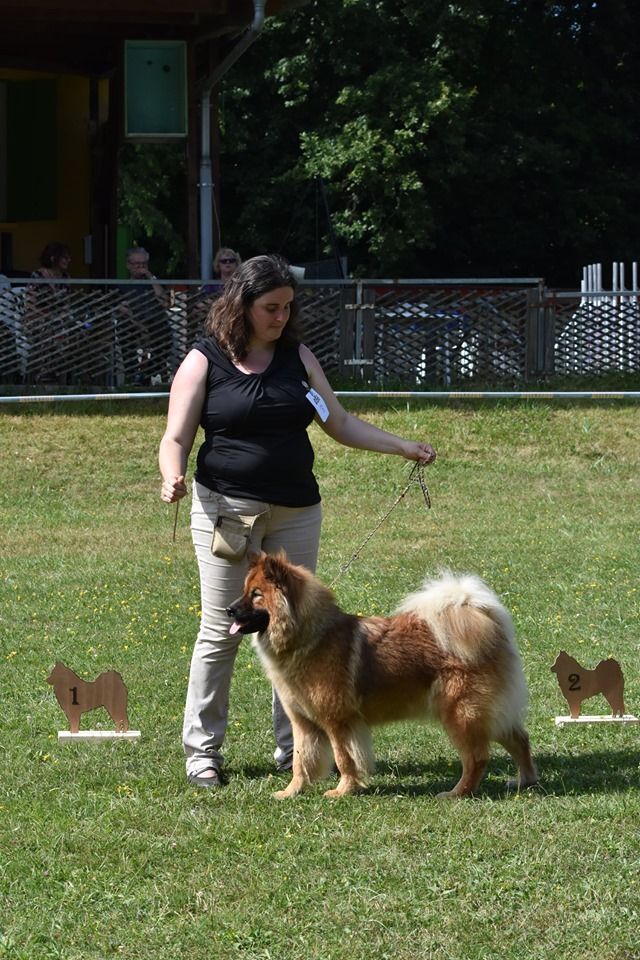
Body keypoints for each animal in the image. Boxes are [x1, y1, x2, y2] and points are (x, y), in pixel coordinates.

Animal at [227, 552, 537, 799]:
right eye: (244, 591)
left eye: (256, 594)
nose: (229, 609)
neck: (309, 637)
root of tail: (491, 628)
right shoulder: (303, 722)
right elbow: (301, 763)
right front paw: (290, 792)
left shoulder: (338, 721)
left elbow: (344, 759)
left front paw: (342, 791)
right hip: (489, 715)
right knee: (520, 739)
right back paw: (525, 781)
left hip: (461, 715)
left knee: (477, 759)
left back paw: (456, 793)